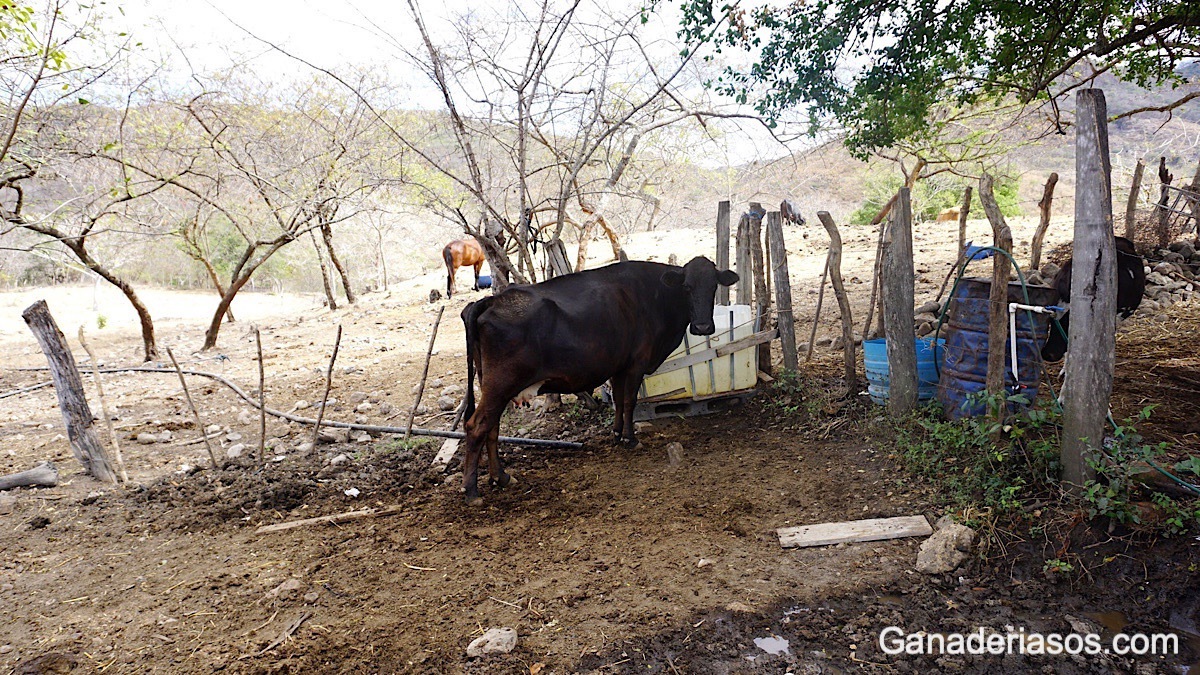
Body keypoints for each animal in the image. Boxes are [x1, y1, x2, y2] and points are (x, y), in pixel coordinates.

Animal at [458, 256, 738, 504]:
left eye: (714, 286)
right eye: (687, 287)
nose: (702, 327)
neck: (655, 296)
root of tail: (489, 301)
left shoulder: (618, 366)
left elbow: (618, 400)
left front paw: (616, 434)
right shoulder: (636, 364)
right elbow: (629, 402)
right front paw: (630, 439)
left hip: (495, 387)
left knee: (492, 427)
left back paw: (501, 477)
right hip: (501, 385)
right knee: (477, 427)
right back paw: (472, 491)